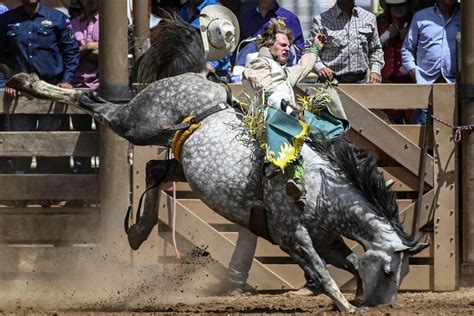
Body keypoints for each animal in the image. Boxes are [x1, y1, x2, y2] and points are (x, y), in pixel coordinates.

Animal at [6, 14, 430, 312]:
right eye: (390, 270)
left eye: (405, 273)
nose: (384, 304)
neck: (321, 186)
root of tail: (197, 76)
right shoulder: (292, 235)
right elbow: (323, 273)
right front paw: (347, 304)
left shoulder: (328, 241)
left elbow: (348, 264)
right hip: (137, 123)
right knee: (90, 101)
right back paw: (26, 82)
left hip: (179, 157)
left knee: (154, 170)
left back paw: (138, 230)